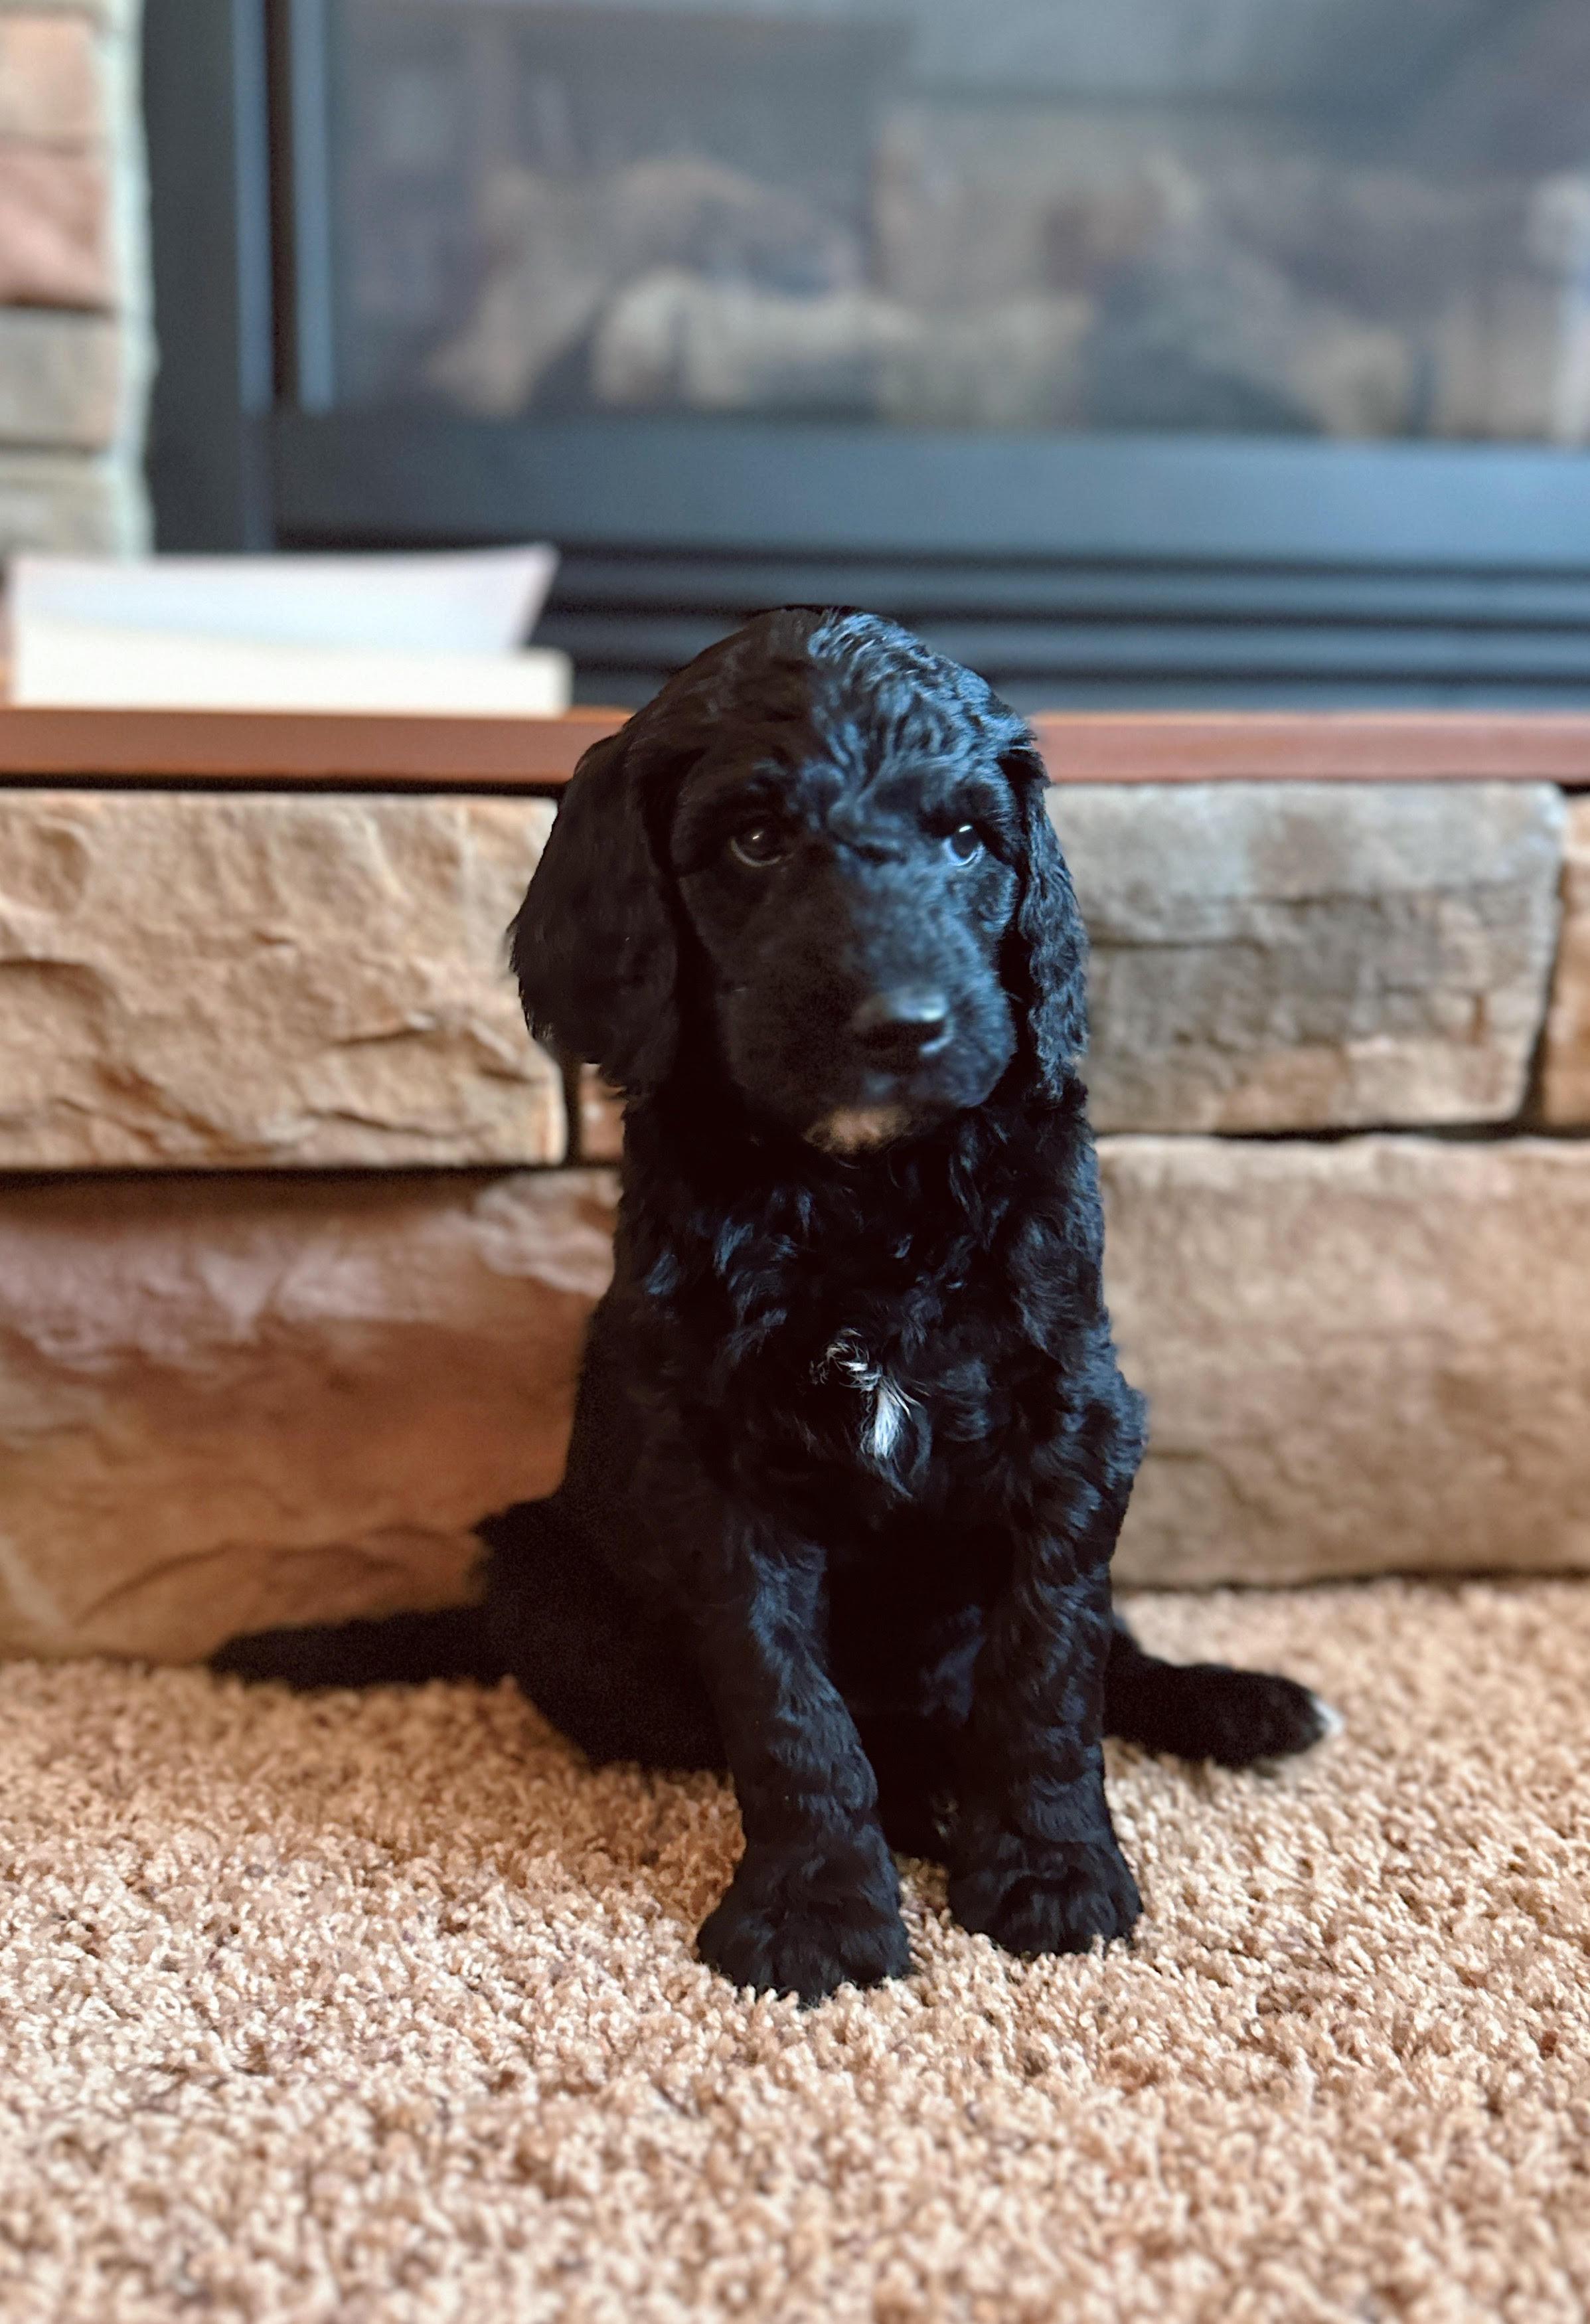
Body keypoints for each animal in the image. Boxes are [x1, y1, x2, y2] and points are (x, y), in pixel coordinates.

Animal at [216, 608, 1336, 2003]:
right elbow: (786, 1704)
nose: (903, 1026)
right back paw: (925, 1798)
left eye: (968, 840)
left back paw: (1235, 1704)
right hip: (547, 1585)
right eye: (754, 838)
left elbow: (1049, 1662)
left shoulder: (1074, 1419)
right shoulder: (717, 1460)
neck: (861, 1192)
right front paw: (817, 1910)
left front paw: (1050, 1870)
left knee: (1101, 1658)